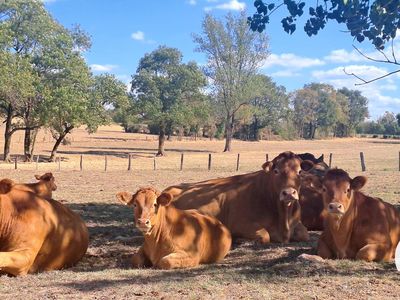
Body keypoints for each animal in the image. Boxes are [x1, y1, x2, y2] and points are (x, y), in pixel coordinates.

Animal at [162, 151, 312, 245]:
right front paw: (240, 240)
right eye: (276, 171)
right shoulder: (240, 224)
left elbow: (305, 233)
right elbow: (265, 235)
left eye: (300, 171)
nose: (289, 193)